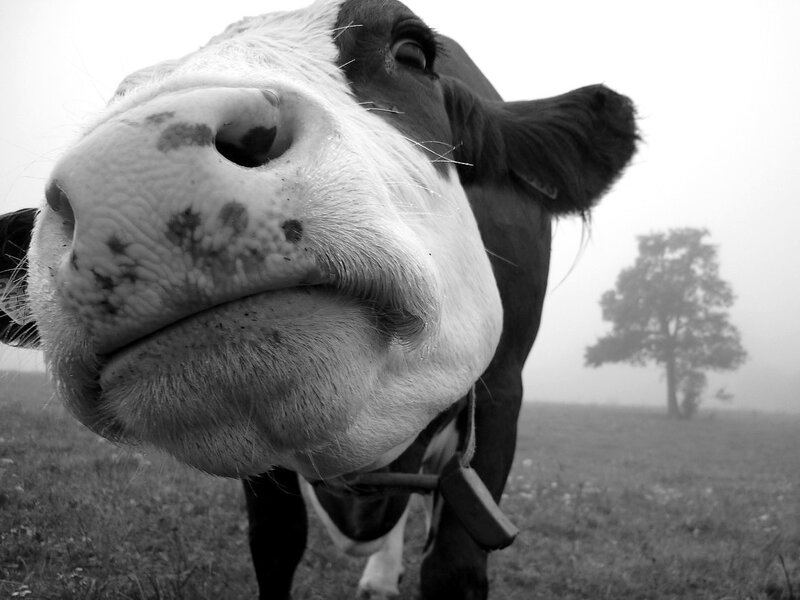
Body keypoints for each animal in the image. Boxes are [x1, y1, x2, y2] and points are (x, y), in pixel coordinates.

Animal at [0, 0, 637, 598]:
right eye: (123, 94)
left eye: (412, 52)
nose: (135, 168)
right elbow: (276, 544)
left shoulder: (504, 394)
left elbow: (454, 566)